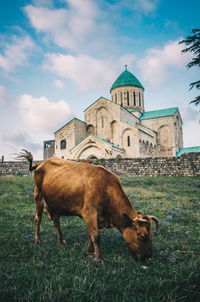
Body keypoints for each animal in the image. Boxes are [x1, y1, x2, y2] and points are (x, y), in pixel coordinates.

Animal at [18, 150, 159, 264]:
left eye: (152, 235)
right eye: (143, 236)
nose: (150, 259)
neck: (106, 187)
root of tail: (41, 163)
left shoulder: (97, 217)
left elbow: (90, 235)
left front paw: (90, 252)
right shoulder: (89, 212)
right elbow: (96, 236)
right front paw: (99, 258)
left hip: (56, 201)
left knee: (56, 221)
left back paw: (61, 241)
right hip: (38, 196)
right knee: (38, 219)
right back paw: (38, 240)